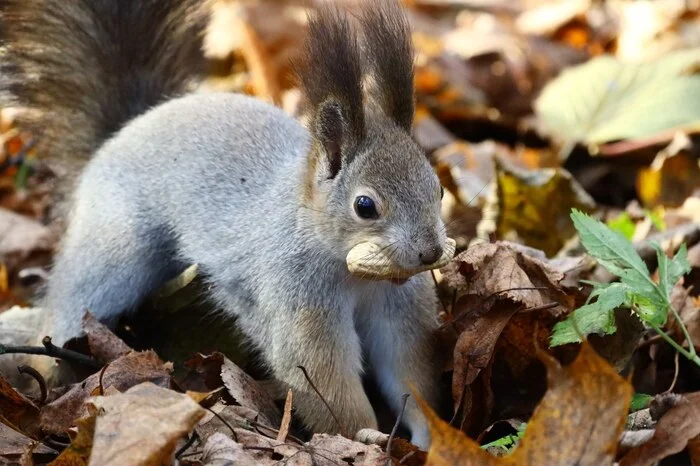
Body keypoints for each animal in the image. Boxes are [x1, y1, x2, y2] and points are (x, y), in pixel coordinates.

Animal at [0, 0, 452, 448]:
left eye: (439, 189)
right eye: (365, 205)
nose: (429, 251)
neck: (353, 272)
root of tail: (125, 130)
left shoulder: (400, 304)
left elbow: (407, 369)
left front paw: (429, 436)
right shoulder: (296, 297)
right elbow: (325, 380)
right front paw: (365, 439)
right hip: (114, 252)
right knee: (70, 305)